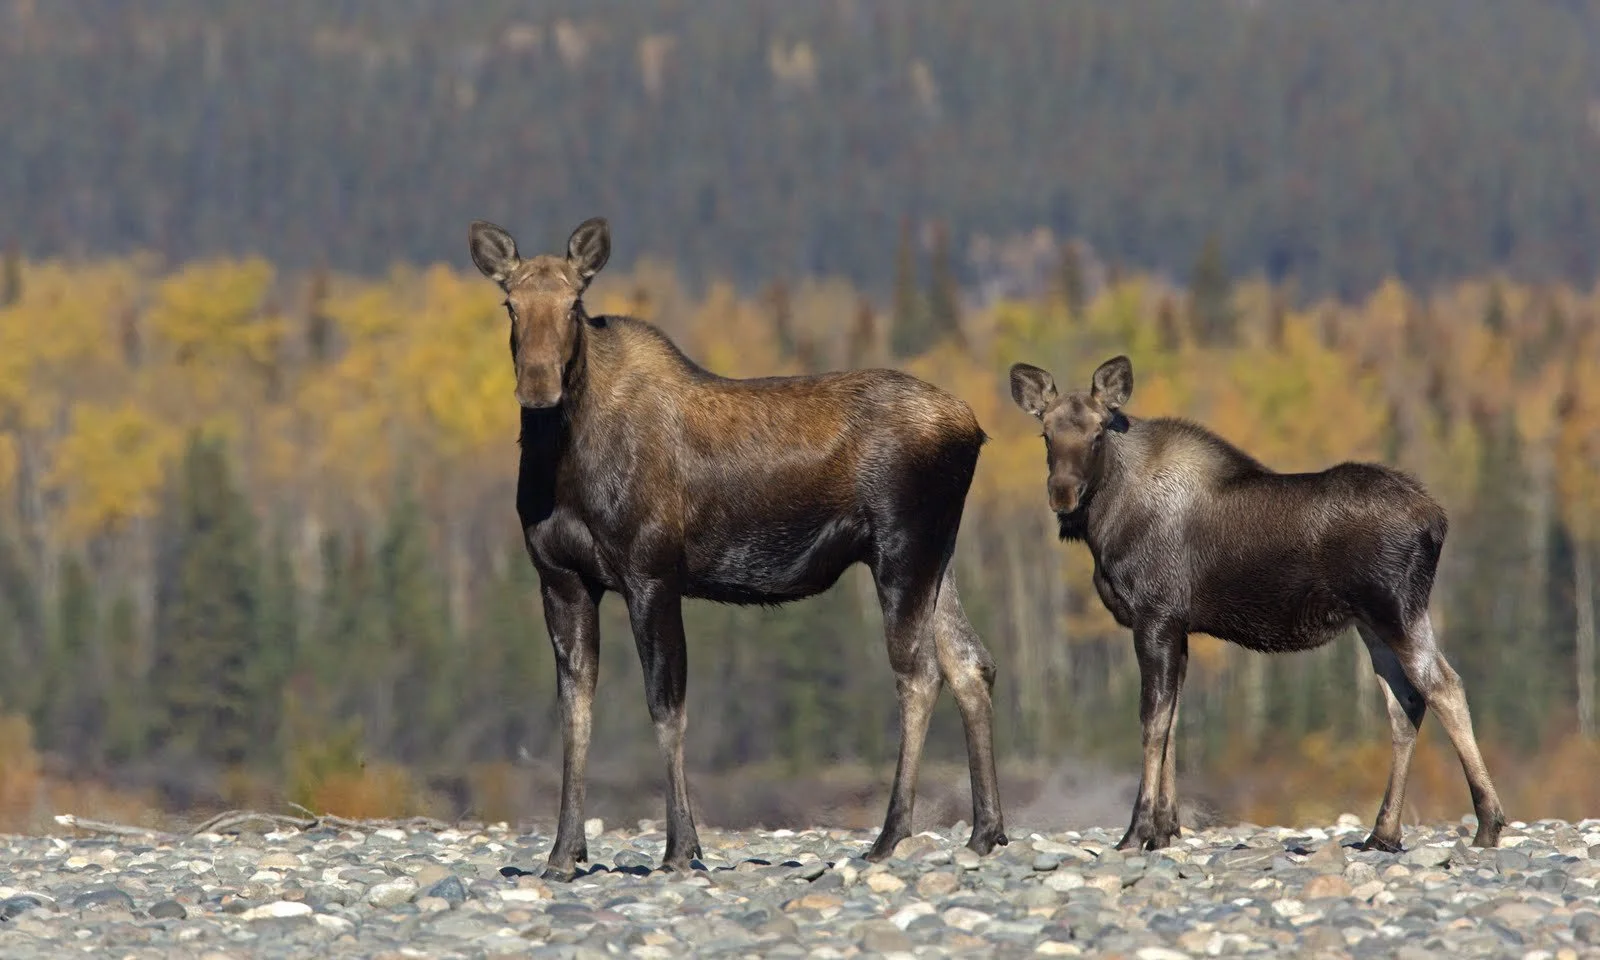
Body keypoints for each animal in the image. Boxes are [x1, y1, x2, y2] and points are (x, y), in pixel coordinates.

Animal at [468, 216, 1008, 879]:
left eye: (574, 303)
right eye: (510, 304)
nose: (537, 387)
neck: (564, 461)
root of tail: (974, 429)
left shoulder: (652, 575)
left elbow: (666, 707)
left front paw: (681, 848)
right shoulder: (561, 579)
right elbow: (575, 712)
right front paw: (563, 853)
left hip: (902, 550)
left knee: (920, 673)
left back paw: (889, 835)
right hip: (941, 554)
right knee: (970, 662)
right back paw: (985, 831)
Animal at [1007, 354, 1506, 853]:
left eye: (1097, 434)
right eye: (1045, 433)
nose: (1062, 493)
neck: (1106, 519)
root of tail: (1437, 521)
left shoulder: (1155, 618)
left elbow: (1153, 722)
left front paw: (1137, 831)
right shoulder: (1178, 629)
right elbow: (1173, 723)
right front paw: (1165, 830)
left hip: (1397, 610)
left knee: (1443, 686)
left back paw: (1487, 822)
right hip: (1373, 624)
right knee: (1405, 705)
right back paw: (1382, 833)